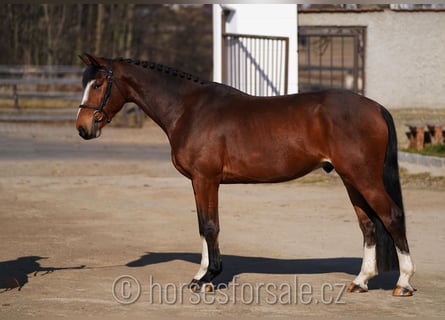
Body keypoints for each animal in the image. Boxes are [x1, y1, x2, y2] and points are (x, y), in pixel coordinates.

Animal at [74, 53, 414, 296]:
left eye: (98, 85)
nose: (82, 128)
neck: (189, 109)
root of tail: (375, 107)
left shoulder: (206, 179)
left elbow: (211, 226)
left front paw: (209, 278)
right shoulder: (200, 182)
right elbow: (202, 227)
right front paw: (201, 275)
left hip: (364, 177)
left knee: (392, 216)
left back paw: (403, 283)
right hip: (350, 179)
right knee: (368, 225)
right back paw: (361, 281)